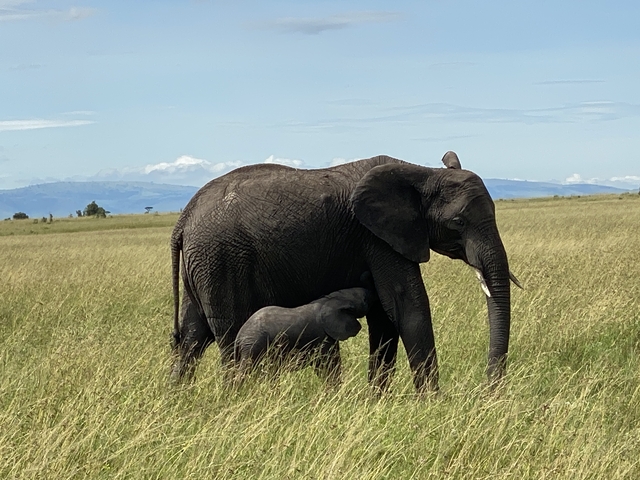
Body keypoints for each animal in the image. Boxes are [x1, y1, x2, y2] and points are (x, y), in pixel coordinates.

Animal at [233, 287, 371, 385]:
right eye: (365, 300)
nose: (369, 291)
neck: (332, 299)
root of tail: (239, 336)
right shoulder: (322, 335)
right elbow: (327, 364)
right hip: (254, 344)